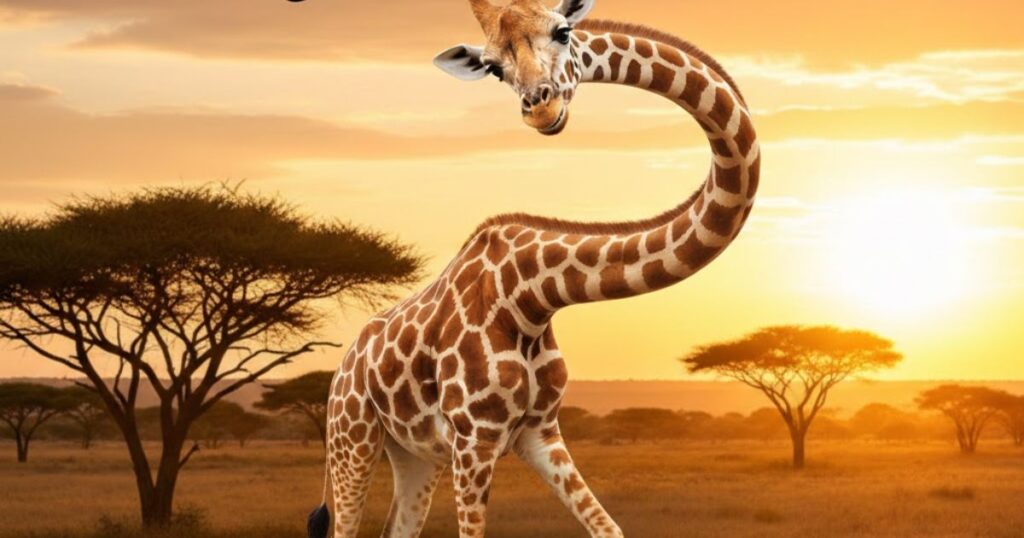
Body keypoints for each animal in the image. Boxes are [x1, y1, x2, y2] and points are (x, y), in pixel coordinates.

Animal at [308, 1, 760, 537]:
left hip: (415, 453)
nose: (539, 107)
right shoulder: (474, 437)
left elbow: (608, 527)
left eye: (563, 32)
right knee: (344, 522)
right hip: (352, 434)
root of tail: (342, 368)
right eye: (492, 68)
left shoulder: (539, 431)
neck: (529, 296)